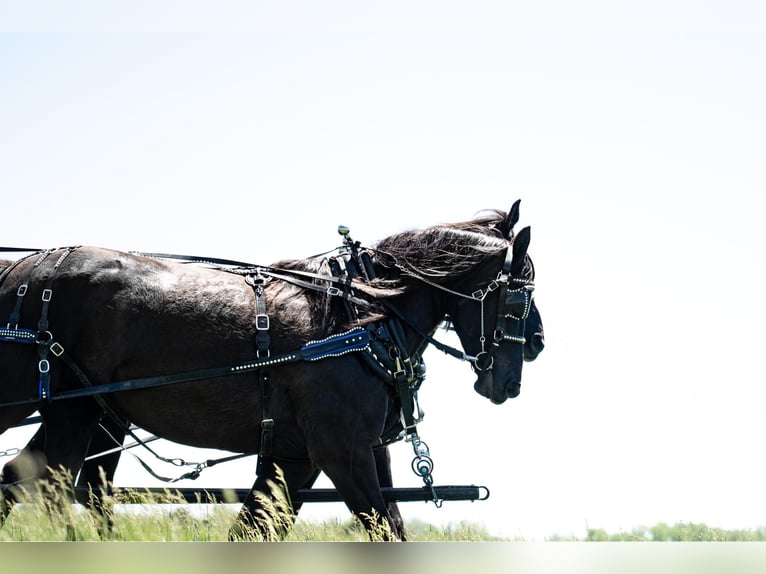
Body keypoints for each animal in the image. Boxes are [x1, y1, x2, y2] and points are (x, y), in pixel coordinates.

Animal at [0, 205, 544, 544]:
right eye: (520, 294)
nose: (534, 352)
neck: (360, 315)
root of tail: (21, 270)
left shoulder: (305, 454)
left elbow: (260, 527)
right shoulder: (339, 450)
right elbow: (378, 527)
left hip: (87, 412)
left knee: (42, 483)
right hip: (59, 407)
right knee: (47, 486)